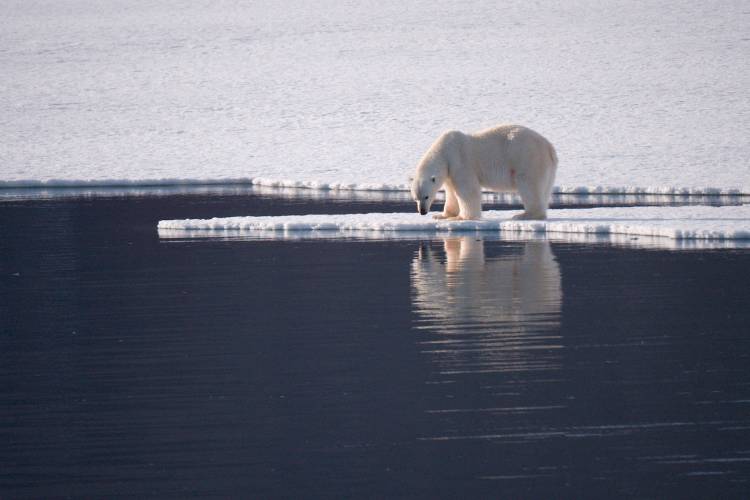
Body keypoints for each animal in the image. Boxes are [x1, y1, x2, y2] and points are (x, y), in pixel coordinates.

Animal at [412, 124, 560, 219]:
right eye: (415, 198)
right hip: (547, 167)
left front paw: (462, 217)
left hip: (528, 159)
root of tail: (549, 147)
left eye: (426, 196)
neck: (444, 150)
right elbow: (451, 192)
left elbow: (467, 191)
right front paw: (442, 215)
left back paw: (524, 215)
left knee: (529, 185)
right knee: (545, 188)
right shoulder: (449, 172)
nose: (422, 211)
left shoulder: (460, 162)